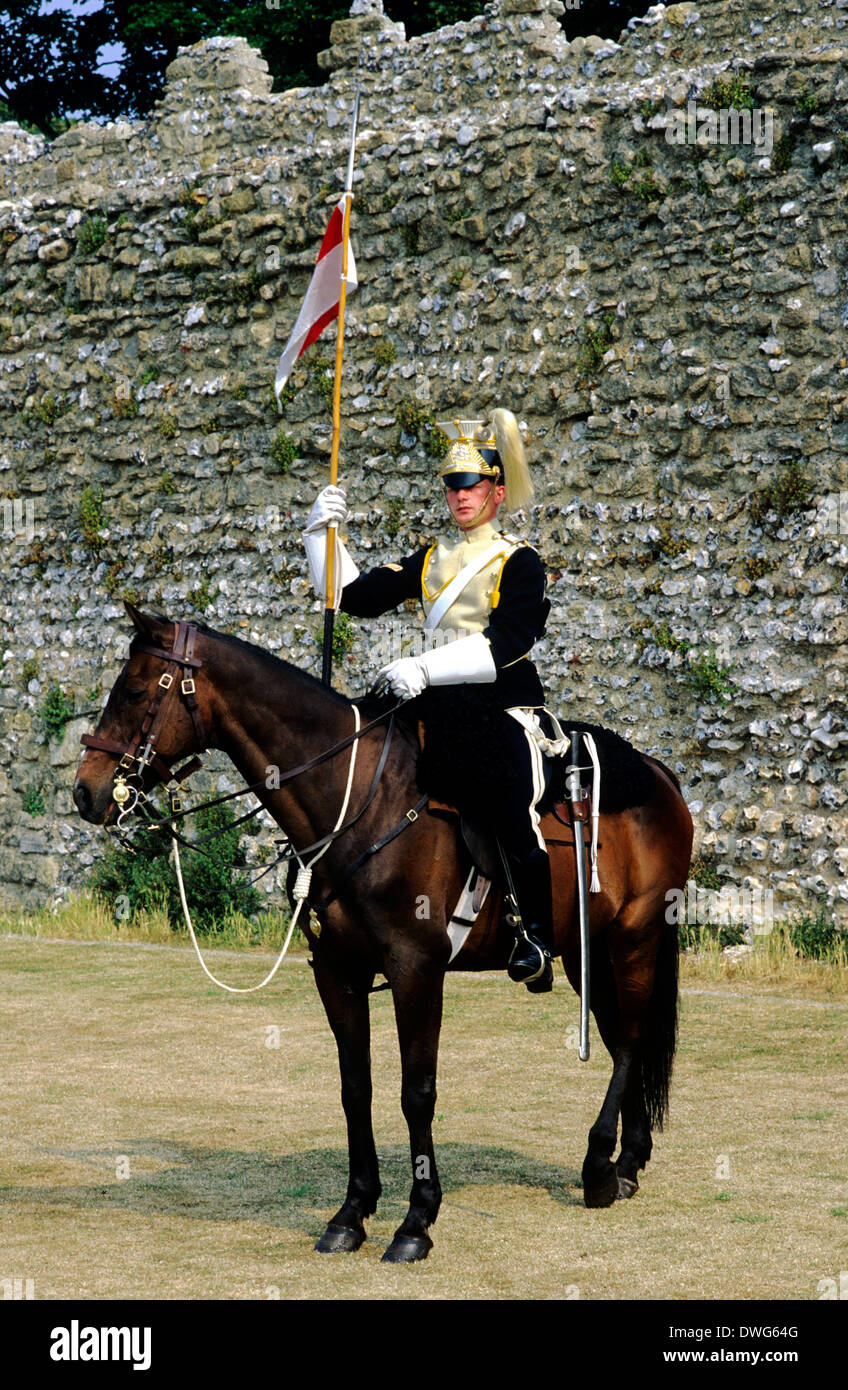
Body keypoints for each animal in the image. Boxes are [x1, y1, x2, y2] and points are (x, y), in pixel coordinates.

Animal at [72, 603, 689, 1267]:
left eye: (135, 691)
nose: (86, 790)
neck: (358, 802)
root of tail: (659, 774)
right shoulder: (337, 972)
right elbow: (355, 1088)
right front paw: (352, 1212)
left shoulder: (416, 971)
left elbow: (416, 1092)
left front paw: (416, 1221)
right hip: (585, 952)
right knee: (622, 1038)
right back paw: (627, 1161)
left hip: (634, 939)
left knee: (629, 1041)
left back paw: (599, 1167)